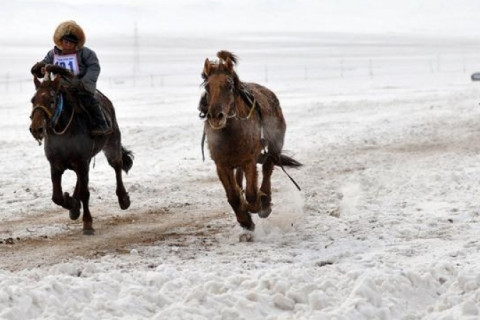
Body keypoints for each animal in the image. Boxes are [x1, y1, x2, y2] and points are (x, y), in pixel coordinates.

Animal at [29, 65, 133, 235]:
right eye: (33, 100)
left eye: (52, 100)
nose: (36, 128)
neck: (64, 131)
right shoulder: (56, 165)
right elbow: (57, 196)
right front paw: (72, 204)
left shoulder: (82, 162)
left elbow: (85, 193)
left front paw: (88, 223)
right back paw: (74, 206)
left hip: (112, 144)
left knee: (116, 166)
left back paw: (123, 199)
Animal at [200, 50, 300, 235]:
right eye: (207, 87)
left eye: (229, 86)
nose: (216, 116)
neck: (230, 134)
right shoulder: (221, 164)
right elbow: (233, 196)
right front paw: (245, 220)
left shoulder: (249, 161)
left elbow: (252, 194)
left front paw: (256, 206)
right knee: (241, 178)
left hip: (275, 146)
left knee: (268, 168)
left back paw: (265, 204)